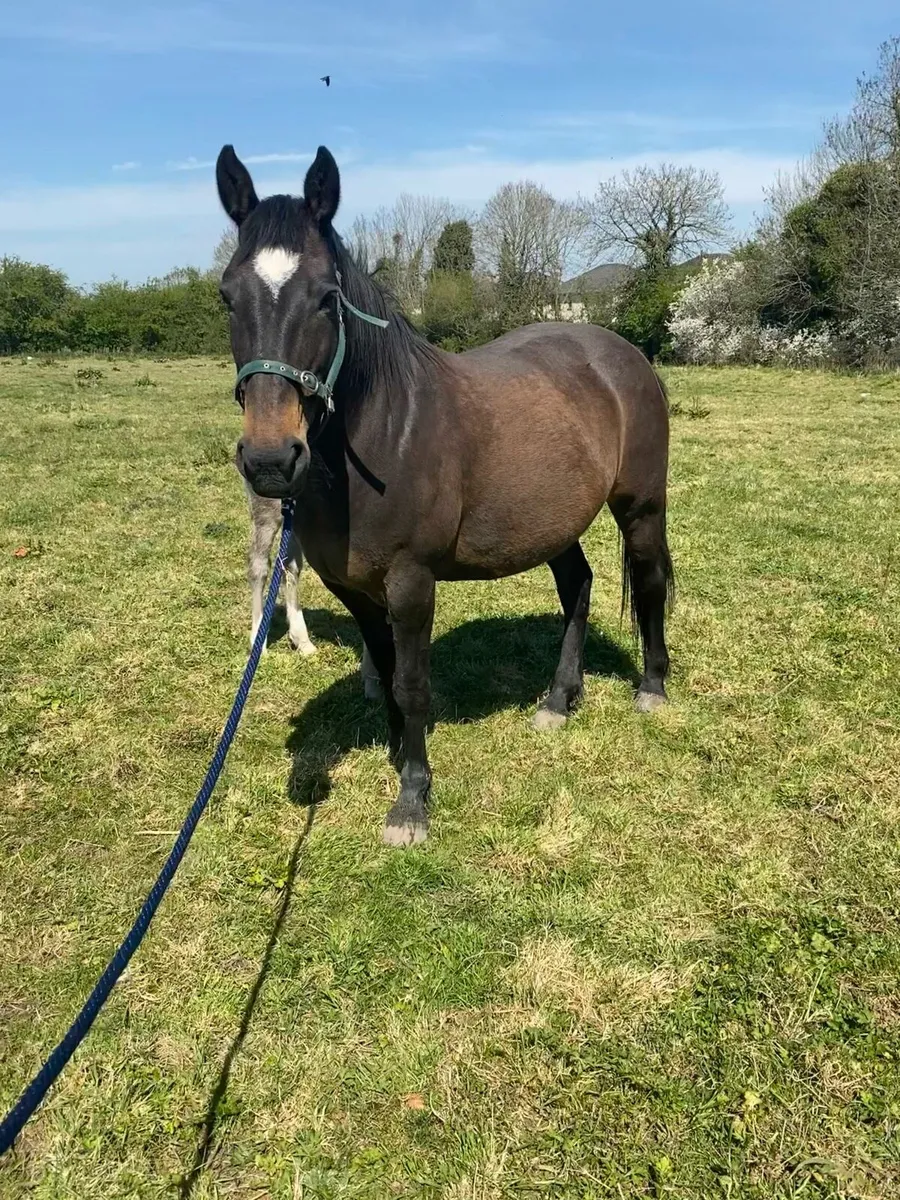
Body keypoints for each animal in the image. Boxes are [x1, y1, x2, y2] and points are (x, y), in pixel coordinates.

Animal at [216, 144, 674, 847]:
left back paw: (650, 688)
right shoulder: (354, 589)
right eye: (228, 297)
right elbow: (384, 670)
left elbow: (411, 682)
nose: (269, 460)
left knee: (647, 582)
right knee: (578, 586)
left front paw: (411, 800)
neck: (382, 435)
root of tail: (623, 353)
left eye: (326, 298)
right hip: (553, 522)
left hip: (641, 508)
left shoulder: (411, 583)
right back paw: (558, 699)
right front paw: (398, 752)